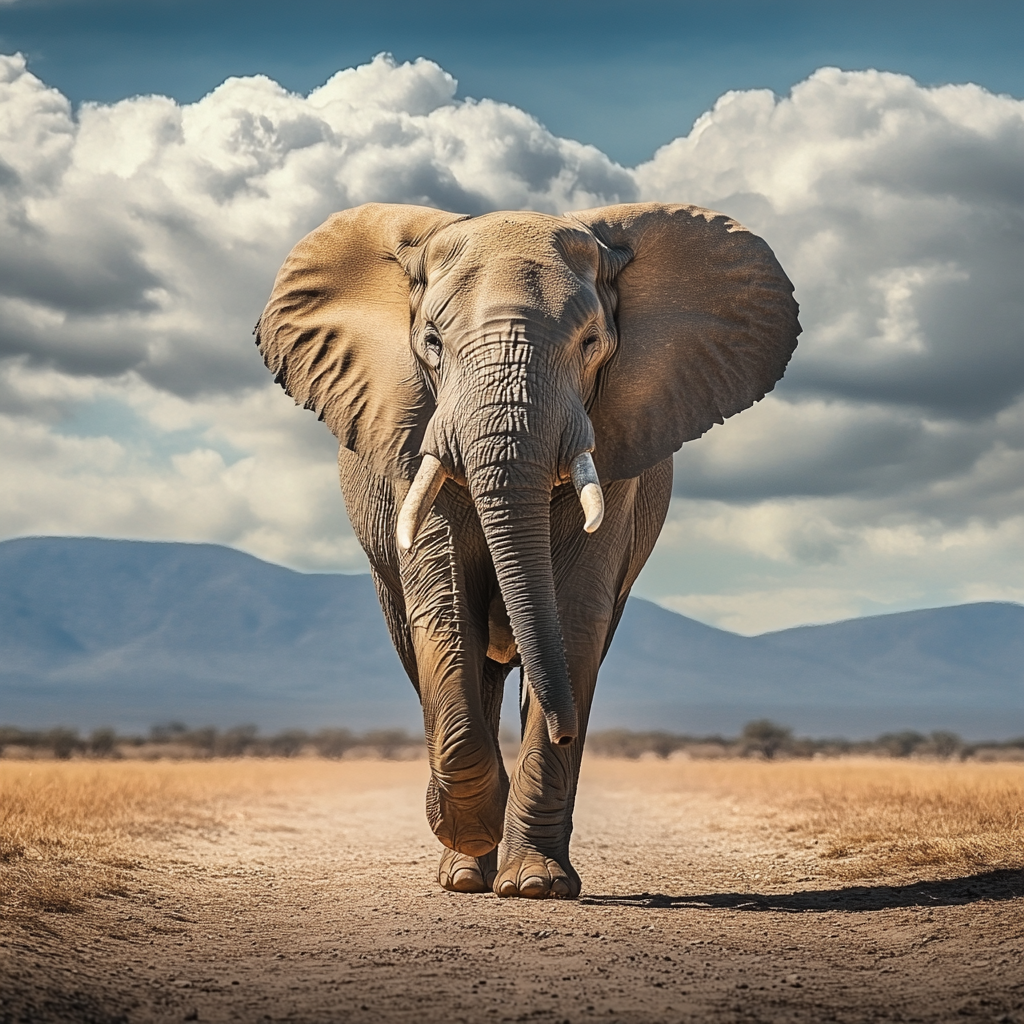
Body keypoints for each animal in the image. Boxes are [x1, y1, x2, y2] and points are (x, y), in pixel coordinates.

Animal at [256, 201, 799, 898]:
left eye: (592, 343)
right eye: (432, 342)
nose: (569, 732)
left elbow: (571, 618)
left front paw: (535, 884)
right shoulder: (409, 438)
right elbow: (444, 610)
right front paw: (470, 833)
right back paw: (465, 871)